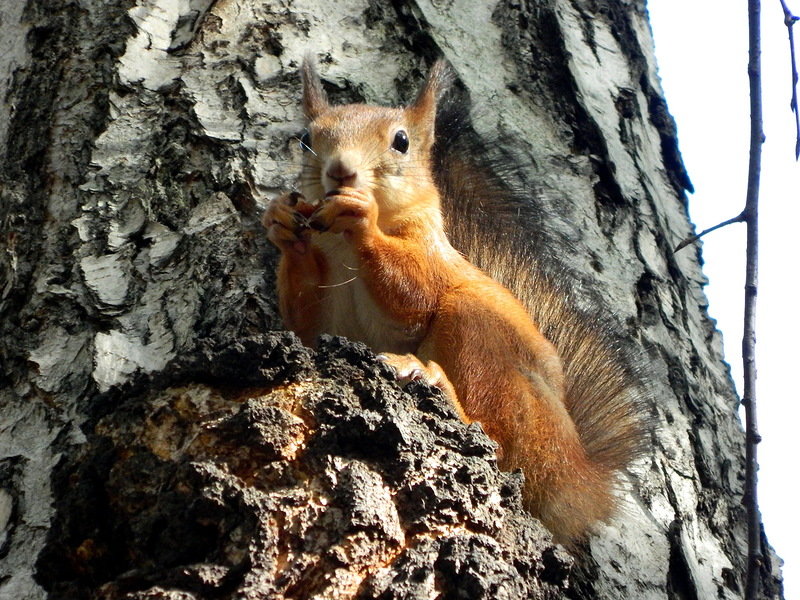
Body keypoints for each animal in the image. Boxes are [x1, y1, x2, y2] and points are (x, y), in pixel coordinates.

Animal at [262, 58, 648, 548]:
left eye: (401, 141)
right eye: (307, 139)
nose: (341, 171)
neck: (341, 245)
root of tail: (576, 479)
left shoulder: (430, 255)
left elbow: (414, 293)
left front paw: (362, 216)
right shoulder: (325, 304)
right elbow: (306, 322)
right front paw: (279, 221)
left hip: (483, 341)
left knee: (497, 444)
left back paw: (437, 383)